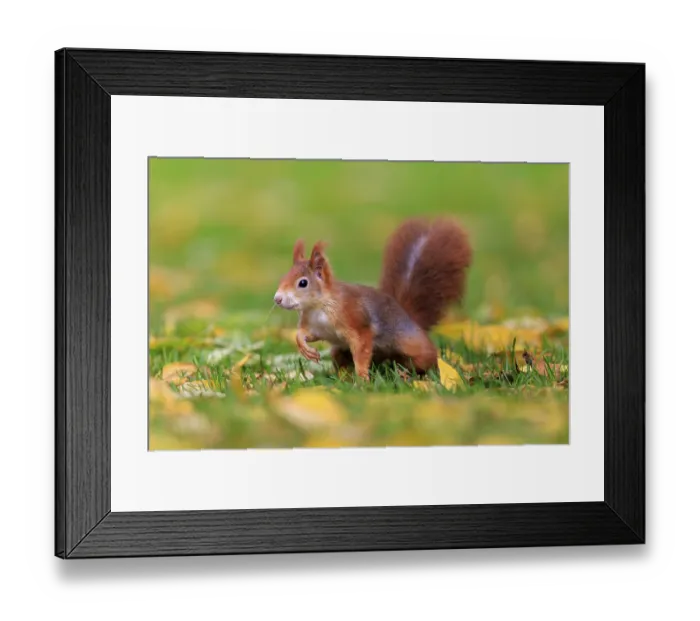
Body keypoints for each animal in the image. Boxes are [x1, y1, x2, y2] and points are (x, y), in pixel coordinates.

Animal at [273, 218, 472, 380]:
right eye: (283, 277)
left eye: (303, 283)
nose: (277, 299)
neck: (317, 307)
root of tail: (408, 315)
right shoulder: (316, 327)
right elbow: (304, 334)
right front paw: (304, 347)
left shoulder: (355, 320)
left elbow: (361, 349)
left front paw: (362, 379)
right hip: (340, 351)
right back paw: (343, 377)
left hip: (413, 345)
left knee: (425, 359)